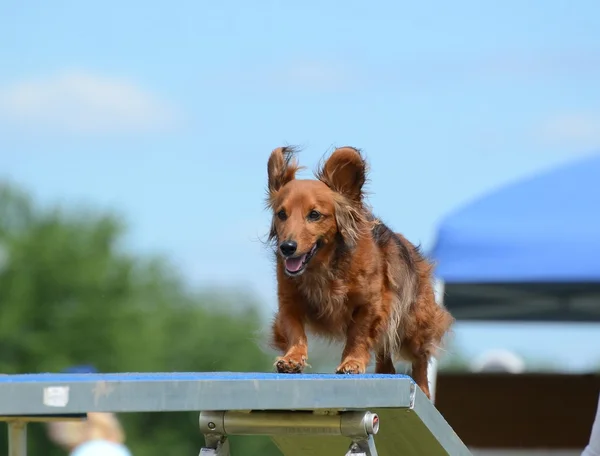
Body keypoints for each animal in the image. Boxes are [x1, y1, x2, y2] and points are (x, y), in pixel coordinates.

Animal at [264, 146, 452, 400]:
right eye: (281, 214)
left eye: (314, 214)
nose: (287, 247)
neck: (323, 268)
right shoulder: (289, 301)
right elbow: (295, 330)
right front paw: (292, 358)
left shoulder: (371, 304)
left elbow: (359, 335)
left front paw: (352, 362)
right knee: (386, 359)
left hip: (414, 324)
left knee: (420, 358)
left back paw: (422, 389)